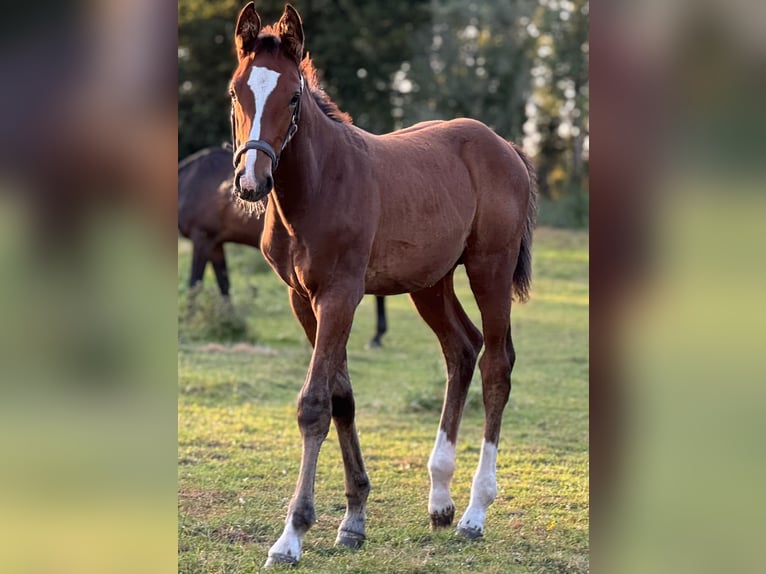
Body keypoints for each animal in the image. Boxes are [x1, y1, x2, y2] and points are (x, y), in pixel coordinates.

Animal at [178, 144, 389, 346]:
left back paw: (377, 337)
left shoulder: (202, 239)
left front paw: (189, 320)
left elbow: (194, 281)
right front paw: (228, 319)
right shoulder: (215, 244)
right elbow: (224, 285)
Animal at [228, 3, 537, 567]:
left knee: (497, 365)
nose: (251, 183)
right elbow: (342, 398)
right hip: (430, 282)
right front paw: (353, 520)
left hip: (490, 268)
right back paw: (439, 499)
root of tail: (505, 146)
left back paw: (475, 513)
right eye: (237, 92)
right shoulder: (303, 300)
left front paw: (292, 536)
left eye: (293, 97)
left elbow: (314, 404)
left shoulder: (341, 296)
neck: (318, 185)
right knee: (462, 349)